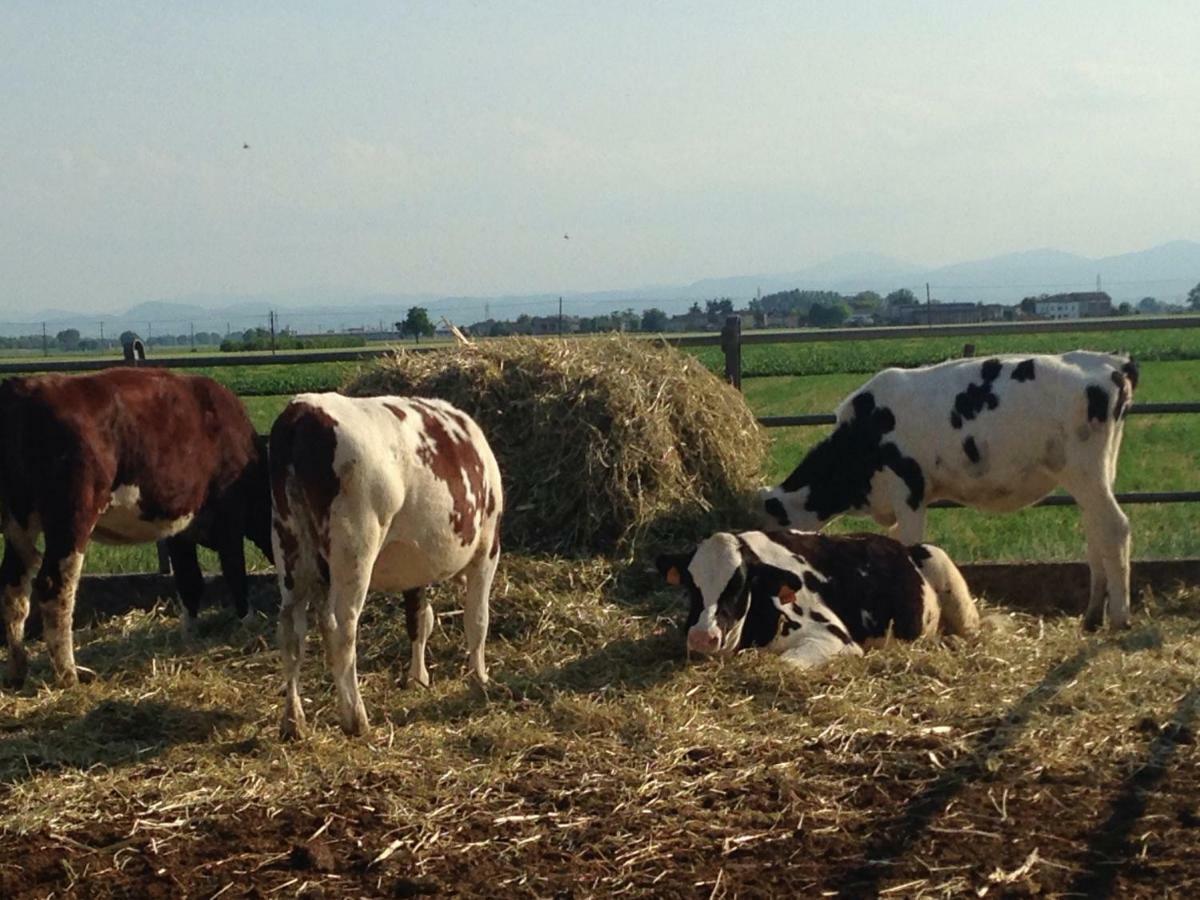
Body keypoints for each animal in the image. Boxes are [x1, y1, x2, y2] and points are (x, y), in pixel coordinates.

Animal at [1, 369, 273, 686]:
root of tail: (23, 386)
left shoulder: (179, 528)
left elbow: (190, 581)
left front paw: (189, 635)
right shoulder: (229, 517)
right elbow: (235, 573)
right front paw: (248, 624)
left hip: (17, 522)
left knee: (13, 587)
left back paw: (17, 670)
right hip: (71, 517)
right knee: (54, 587)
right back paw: (69, 674)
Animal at [268, 393, 501, 739]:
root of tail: (304, 409)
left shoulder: (415, 567)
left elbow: (419, 619)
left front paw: (418, 677)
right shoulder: (487, 550)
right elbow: (477, 619)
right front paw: (480, 678)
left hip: (290, 545)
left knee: (292, 629)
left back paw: (293, 722)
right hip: (355, 549)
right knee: (339, 627)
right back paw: (355, 717)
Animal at [662, 528, 979, 672]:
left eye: (738, 585)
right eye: (691, 585)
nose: (702, 636)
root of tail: (902, 545)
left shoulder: (834, 637)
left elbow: (787, 663)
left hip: (943, 569)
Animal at [758, 352, 1132, 633]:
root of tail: (1111, 363)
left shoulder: (910, 493)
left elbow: (909, 546)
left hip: (1085, 471)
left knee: (1116, 527)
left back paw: (1119, 618)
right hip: (1098, 475)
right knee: (1096, 532)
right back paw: (1092, 617)